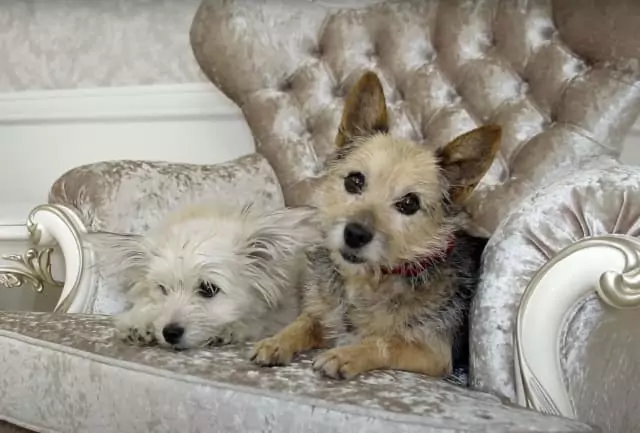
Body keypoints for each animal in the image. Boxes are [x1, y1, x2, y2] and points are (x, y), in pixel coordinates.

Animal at [89, 201, 318, 350]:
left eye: (208, 289)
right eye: (162, 289)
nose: (169, 333)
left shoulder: (279, 316)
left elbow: (256, 323)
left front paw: (229, 329)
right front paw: (138, 323)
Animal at [250, 71, 500, 378]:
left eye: (409, 203)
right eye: (354, 181)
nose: (355, 234)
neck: (370, 280)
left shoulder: (433, 353)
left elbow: (385, 342)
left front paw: (346, 354)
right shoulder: (322, 317)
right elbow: (302, 323)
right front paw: (277, 341)